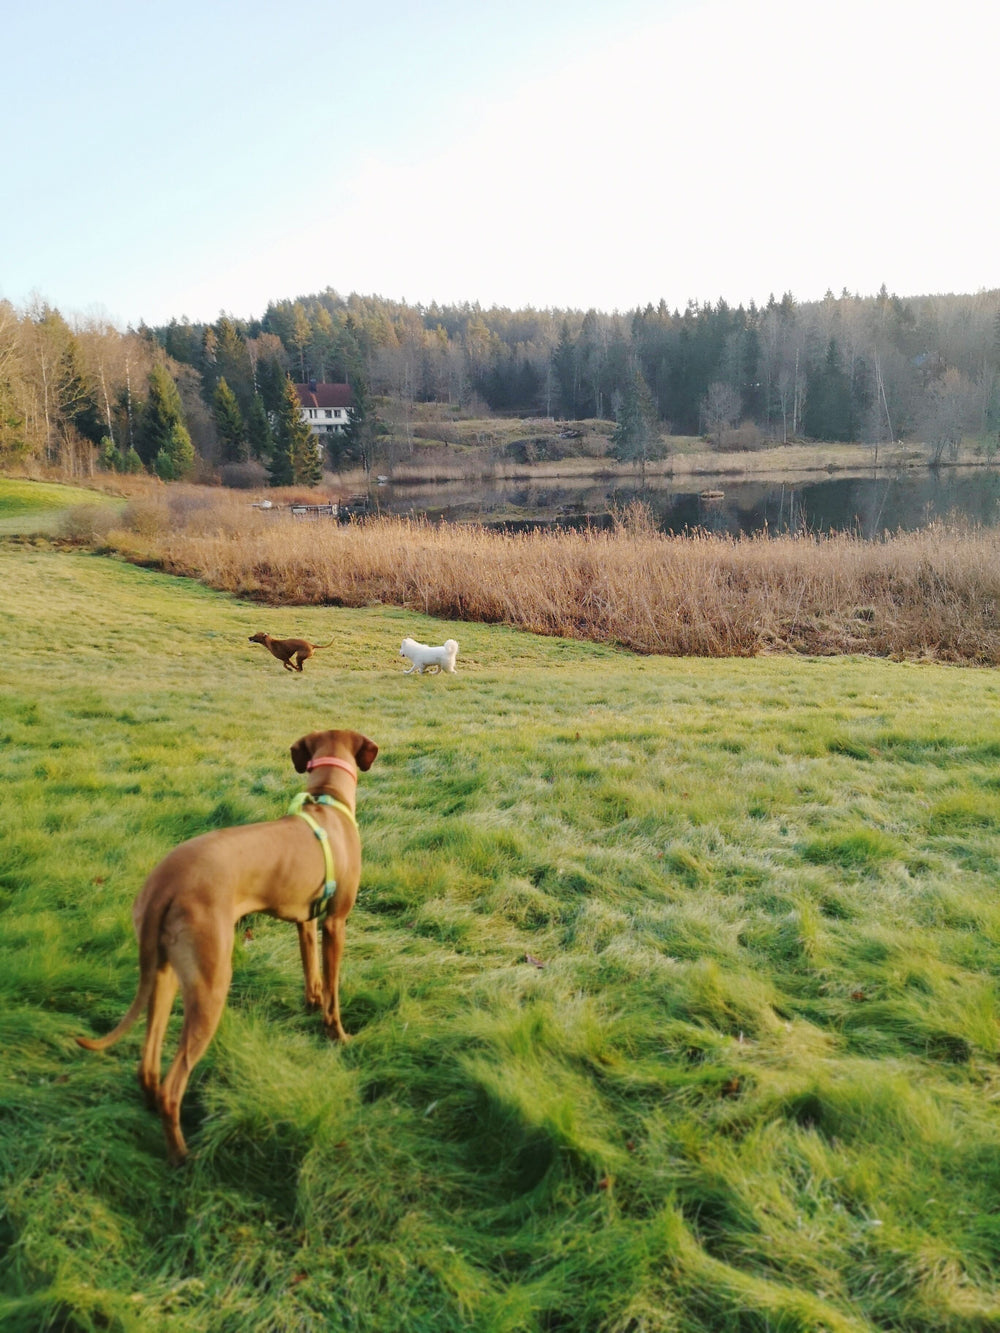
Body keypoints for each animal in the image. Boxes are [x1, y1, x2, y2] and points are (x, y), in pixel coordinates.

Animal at [76, 725, 378, 1162]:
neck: (328, 802)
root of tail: (166, 882)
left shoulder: (306, 922)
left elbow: (312, 975)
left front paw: (310, 1005)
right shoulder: (335, 924)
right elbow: (334, 991)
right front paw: (338, 1035)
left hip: (164, 974)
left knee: (148, 1065)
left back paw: (151, 1111)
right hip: (212, 982)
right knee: (173, 1085)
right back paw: (183, 1157)